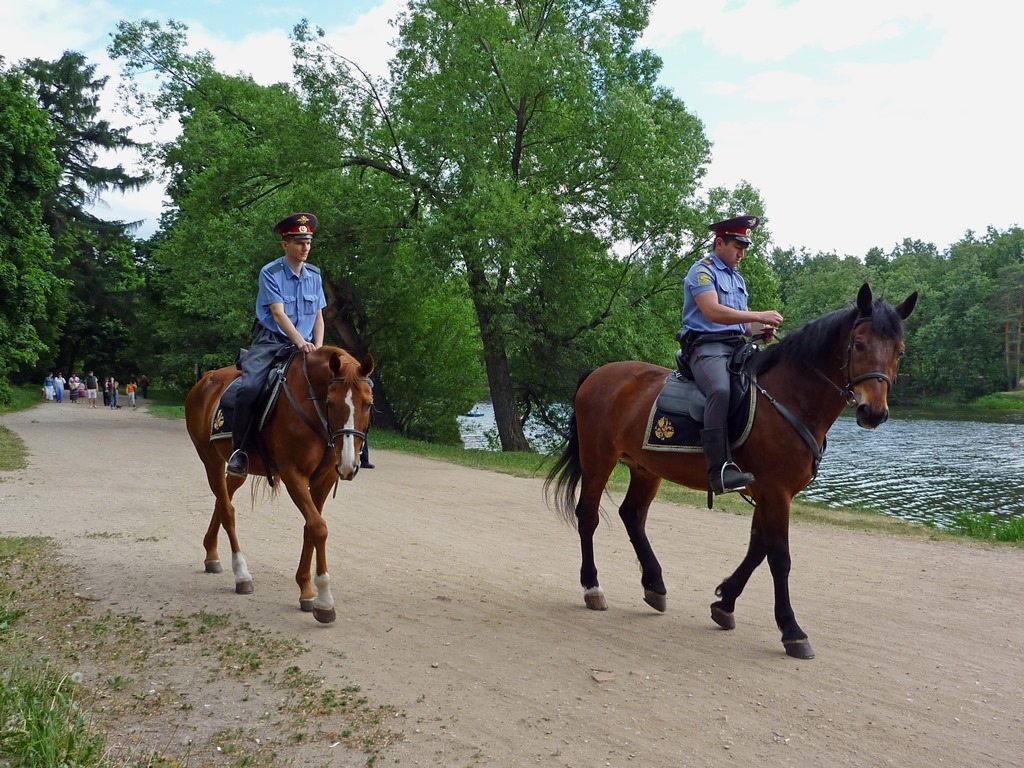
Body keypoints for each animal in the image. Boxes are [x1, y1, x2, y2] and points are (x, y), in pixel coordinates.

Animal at [186, 346, 374, 622]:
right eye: (330, 403)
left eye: (368, 404)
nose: (350, 464)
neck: (313, 407)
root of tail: (205, 379)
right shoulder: (293, 475)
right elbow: (318, 528)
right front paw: (324, 601)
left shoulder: (324, 480)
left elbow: (311, 528)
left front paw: (307, 590)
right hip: (210, 459)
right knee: (228, 510)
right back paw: (241, 574)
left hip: (237, 469)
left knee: (222, 502)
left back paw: (211, 555)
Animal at [548, 286, 917, 659]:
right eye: (860, 344)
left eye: (899, 351)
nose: (874, 412)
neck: (790, 398)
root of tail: (598, 373)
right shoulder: (776, 491)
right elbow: (779, 558)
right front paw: (791, 630)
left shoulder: (770, 492)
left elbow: (757, 549)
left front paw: (725, 602)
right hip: (599, 458)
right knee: (588, 515)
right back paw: (592, 587)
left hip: (645, 468)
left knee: (632, 516)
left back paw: (655, 585)